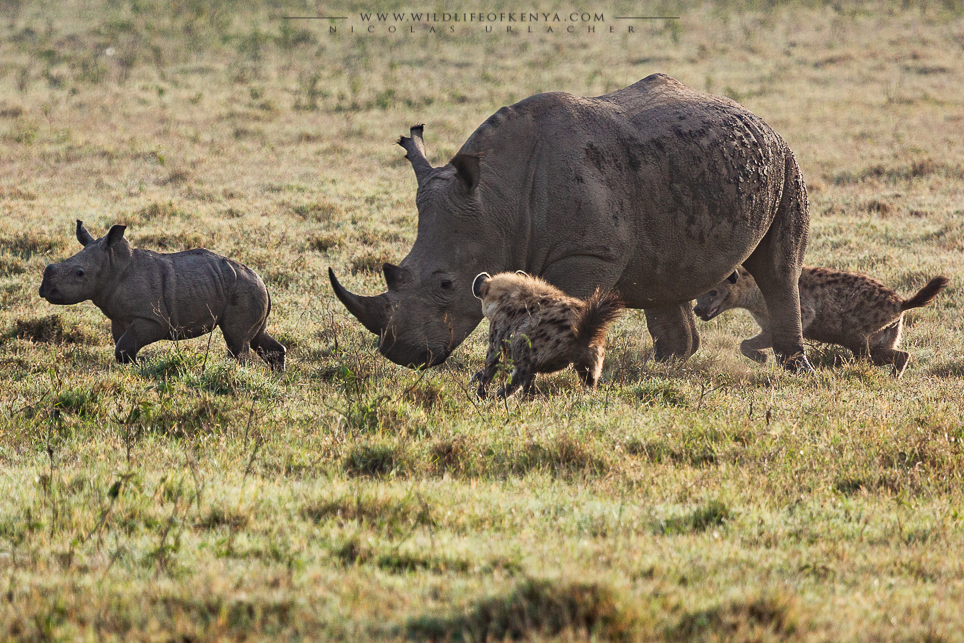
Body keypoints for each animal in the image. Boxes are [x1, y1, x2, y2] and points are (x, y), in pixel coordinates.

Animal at [38, 221, 286, 370]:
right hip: (247, 288)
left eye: (80, 273)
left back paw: (238, 372)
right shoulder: (118, 319)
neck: (114, 265)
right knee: (256, 337)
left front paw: (137, 367)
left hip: (244, 288)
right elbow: (122, 344)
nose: (44, 290)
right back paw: (278, 375)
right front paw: (131, 369)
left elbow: (124, 347)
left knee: (237, 341)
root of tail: (262, 281)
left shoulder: (153, 320)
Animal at [329, 74, 813, 372]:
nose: (398, 353)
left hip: (787, 164)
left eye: (447, 284)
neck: (497, 198)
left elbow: (566, 305)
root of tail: (760, 118)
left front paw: (549, 368)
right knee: (665, 275)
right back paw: (656, 368)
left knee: (779, 269)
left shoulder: (587, 253)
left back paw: (795, 370)